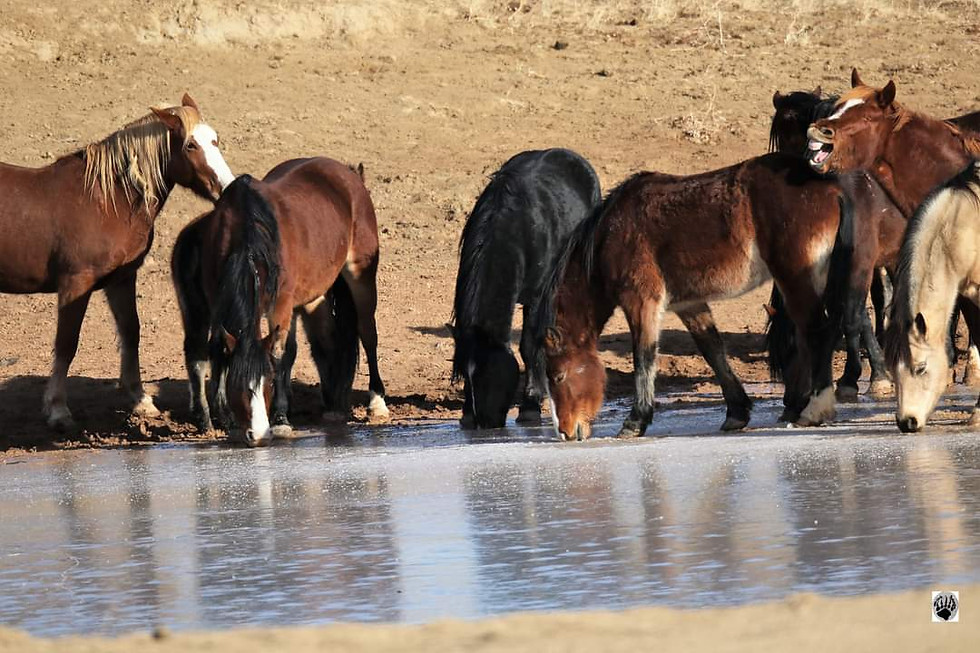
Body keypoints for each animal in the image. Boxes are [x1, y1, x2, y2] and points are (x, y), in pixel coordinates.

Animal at [0, 94, 233, 431]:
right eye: (191, 145)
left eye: (215, 139)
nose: (227, 188)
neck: (107, 200)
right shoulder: (76, 284)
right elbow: (67, 343)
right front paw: (58, 410)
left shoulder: (123, 279)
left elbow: (130, 331)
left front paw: (140, 400)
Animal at [172, 159, 389, 446]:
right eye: (237, 385)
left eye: (269, 383)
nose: (258, 435)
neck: (247, 236)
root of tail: (347, 173)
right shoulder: (218, 302)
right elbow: (218, 351)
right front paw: (229, 420)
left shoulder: (281, 305)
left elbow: (281, 355)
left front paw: (281, 419)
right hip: (313, 295)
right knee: (326, 341)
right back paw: (333, 403)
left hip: (360, 275)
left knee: (367, 333)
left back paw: (376, 401)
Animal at [450, 148, 600, 429]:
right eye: (465, 374)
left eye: (490, 373)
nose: (484, 423)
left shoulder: (538, 295)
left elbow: (530, 345)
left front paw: (531, 405)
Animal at [533, 153, 857, 441]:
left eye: (558, 376)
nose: (565, 432)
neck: (610, 235)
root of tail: (831, 188)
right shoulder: (688, 304)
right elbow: (712, 350)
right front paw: (736, 412)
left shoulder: (641, 301)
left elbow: (644, 357)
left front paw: (635, 421)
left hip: (795, 278)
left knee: (816, 332)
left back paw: (814, 409)